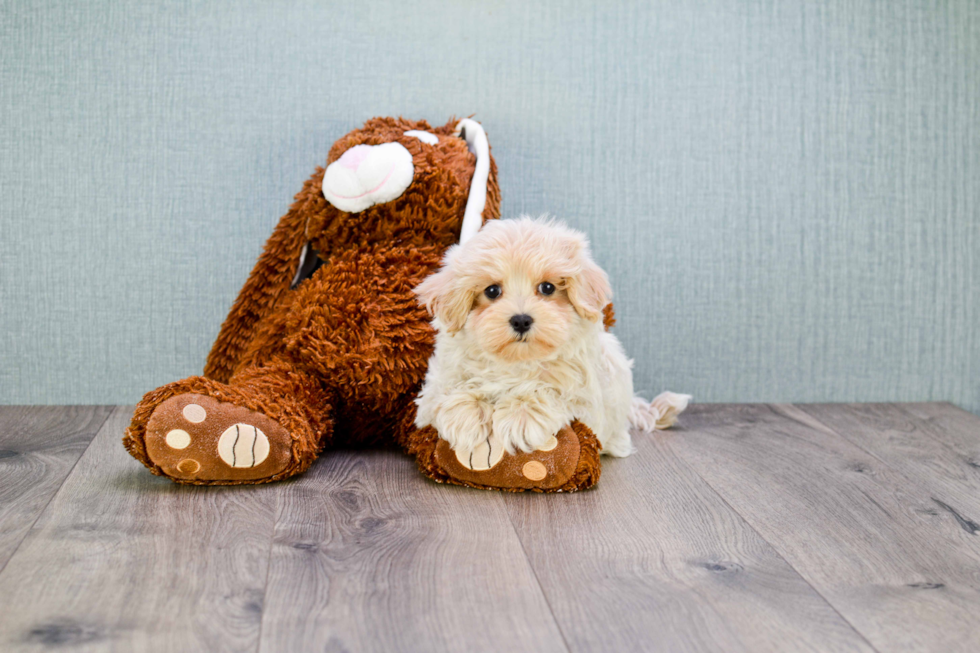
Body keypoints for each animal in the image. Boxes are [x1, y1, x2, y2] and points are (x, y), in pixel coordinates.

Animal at [414, 215, 688, 458]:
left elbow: (552, 392)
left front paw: (520, 415)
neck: (518, 362)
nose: (521, 320)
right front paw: (465, 418)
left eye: (547, 288)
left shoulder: (586, 402)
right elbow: (451, 391)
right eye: (492, 291)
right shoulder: (434, 390)